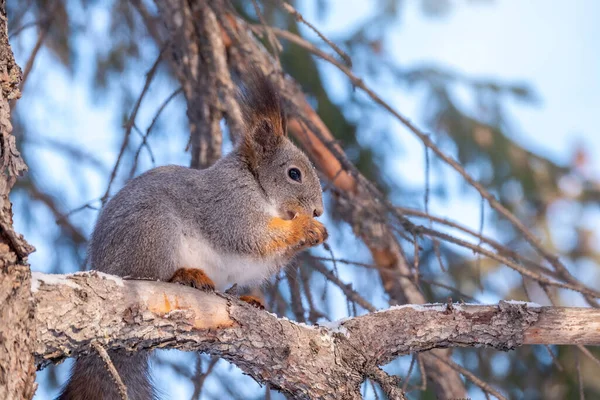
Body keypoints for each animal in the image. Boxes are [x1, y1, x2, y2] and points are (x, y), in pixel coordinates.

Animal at [56, 70, 328, 398]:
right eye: (294, 174)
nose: (318, 211)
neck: (257, 186)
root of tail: (104, 268)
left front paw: (316, 234)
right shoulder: (229, 205)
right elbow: (251, 236)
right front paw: (305, 227)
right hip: (153, 233)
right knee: (151, 276)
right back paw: (186, 275)